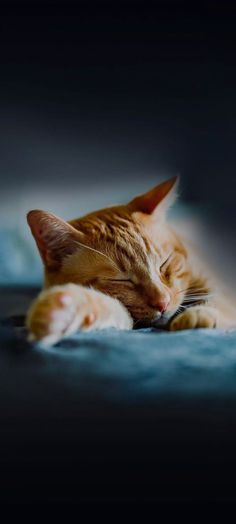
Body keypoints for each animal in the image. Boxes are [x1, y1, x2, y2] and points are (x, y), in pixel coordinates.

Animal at [25, 177, 236, 348]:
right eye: (121, 280)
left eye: (164, 264)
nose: (163, 303)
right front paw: (64, 309)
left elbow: (219, 300)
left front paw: (201, 314)